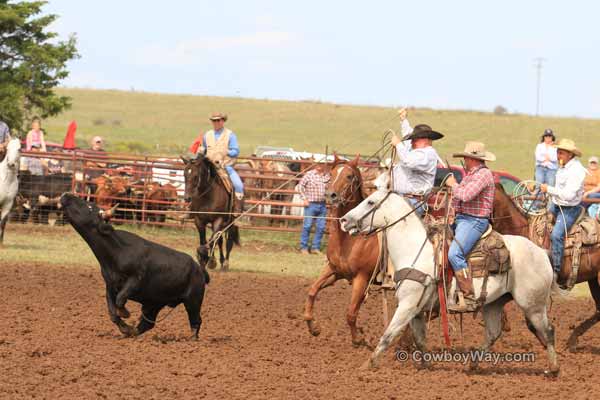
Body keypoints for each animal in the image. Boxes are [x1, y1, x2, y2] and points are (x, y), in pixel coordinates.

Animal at [302, 155, 378, 346]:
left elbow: (351, 313)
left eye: (350, 176)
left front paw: (358, 339)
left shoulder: (362, 277)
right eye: (332, 173)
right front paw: (313, 327)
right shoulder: (334, 270)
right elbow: (312, 290)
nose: (331, 195)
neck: (350, 239)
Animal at [340, 183, 560, 376]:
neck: (415, 250)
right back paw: (473, 364)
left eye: (370, 202)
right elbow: (420, 339)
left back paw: (554, 369)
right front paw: (426, 366)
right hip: (494, 303)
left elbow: (388, 335)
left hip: (533, 304)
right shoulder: (417, 309)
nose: (343, 220)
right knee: (493, 333)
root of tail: (541, 252)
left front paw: (366, 366)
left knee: (548, 331)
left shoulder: (407, 304)